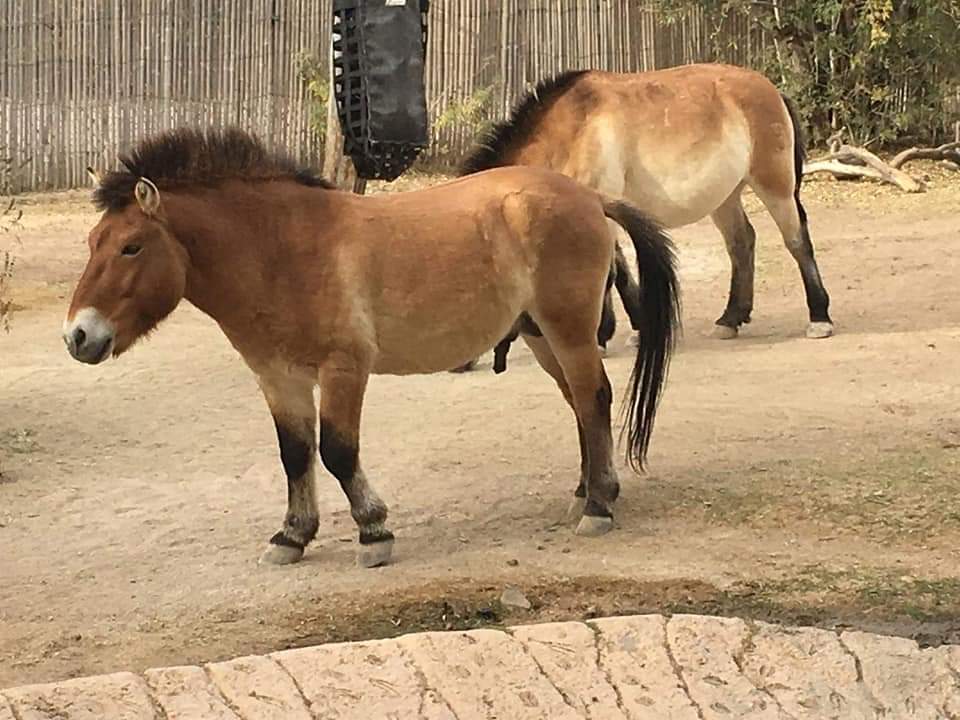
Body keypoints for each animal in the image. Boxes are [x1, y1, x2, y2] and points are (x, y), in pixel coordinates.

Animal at [64, 128, 681, 568]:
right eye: (93, 242)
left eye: (131, 246)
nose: (78, 336)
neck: (282, 250)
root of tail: (591, 197)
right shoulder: (278, 376)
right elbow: (295, 455)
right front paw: (292, 536)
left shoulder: (344, 369)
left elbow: (338, 452)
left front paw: (373, 530)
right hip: (541, 334)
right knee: (580, 403)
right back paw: (584, 491)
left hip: (568, 330)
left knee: (594, 398)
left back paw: (599, 504)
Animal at [453, 62, 832, 372]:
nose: (458, 365)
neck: (572, 132)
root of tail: (772, 89)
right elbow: (619, 271)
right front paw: (634, 329)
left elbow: (611, 274)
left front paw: (603, 337)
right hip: (725, 197)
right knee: (742, 244)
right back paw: (730, 319)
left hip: (775, 187)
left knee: (797, 241)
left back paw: (819, 318)